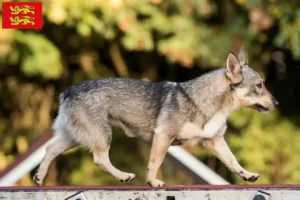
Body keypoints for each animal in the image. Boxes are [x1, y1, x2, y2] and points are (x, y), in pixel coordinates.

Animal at [33, 47, 278, 188]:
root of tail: (68, 91)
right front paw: (152, 182)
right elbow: (155, 163)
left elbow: (233, 161)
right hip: (101, 136)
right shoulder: (163, 137)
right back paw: (123, 176)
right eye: (259, 85)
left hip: (75, 137)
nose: (276, 103)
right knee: (100, 159)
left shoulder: (214, 141)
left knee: (50, 149)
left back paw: (39, 177)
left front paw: (246, 175)